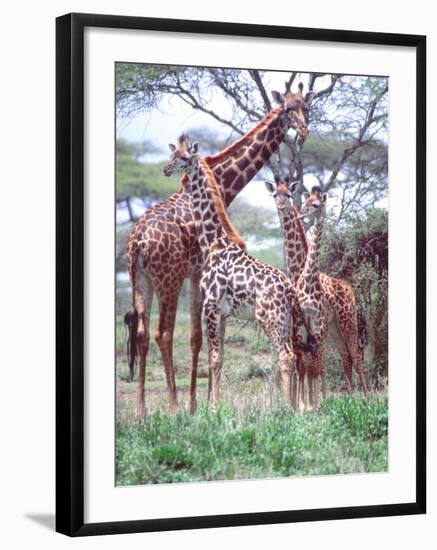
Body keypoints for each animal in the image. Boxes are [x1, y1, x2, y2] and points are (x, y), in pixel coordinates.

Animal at [162, 136, 298, 408]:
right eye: (172, 155)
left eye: (184, 157)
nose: (166, 169)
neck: (213, 242)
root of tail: (288, 289)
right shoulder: (223, 313)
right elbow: (220, 358)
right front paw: (215, 403)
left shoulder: (211, 307)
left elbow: (213, 358)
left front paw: (214, 407)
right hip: (286, 319)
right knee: (294, 356)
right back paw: (296, 405)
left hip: (270, 317)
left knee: (285, 356)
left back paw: (287, 408)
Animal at [292, 188, 368, 408]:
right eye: (306, 201)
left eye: (316, 205)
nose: (301, 214)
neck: (309, 281)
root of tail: (349, 288)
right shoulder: (303, 325)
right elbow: (307, 365)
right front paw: (304, 406)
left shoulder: (318, 326)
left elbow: (318, 365)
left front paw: (317, 405)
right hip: (335, 329)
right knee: (345, 357)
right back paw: (351, 400)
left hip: (348, 322)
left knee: (356, 356)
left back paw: (367, 400)